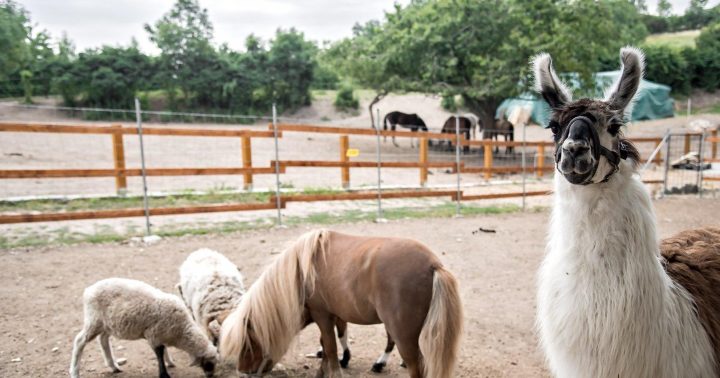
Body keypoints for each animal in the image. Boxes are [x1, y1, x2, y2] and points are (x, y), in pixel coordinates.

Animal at [69, 278, 218, 378]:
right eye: (209, 364)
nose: (210, 376)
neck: (182, 332)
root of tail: (88, 290)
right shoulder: (154, 335)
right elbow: (159, 353)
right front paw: (164, 374)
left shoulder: (160, 334)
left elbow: (164, 351)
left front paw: (170, 362)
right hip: (94, 320)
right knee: (80, 340)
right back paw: (75, 372)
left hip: (106, 324)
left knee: (103, 339)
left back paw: (113, 366)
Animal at [219, 229, 464, 378]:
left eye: (247, 343)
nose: (243, 371)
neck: (302, 274)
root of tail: (433, 265)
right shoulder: (333, 315)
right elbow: (331, 344)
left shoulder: (322, 314)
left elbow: (330, 346)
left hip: (401, 332)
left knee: (412, 361)